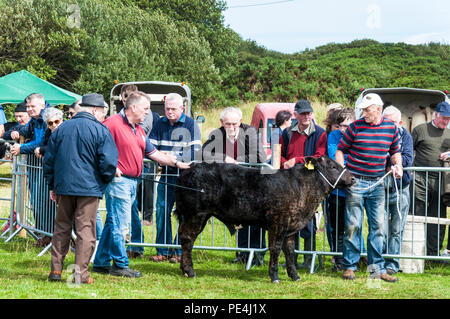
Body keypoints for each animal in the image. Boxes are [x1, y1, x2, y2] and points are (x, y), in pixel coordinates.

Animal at [176, 156, 356, 284]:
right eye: (333, 166)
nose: (353, 178)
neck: (301, 187)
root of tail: (188, 169)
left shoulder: (290, 227)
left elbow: (290, 251)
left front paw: (295, 275)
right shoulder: (278, 223)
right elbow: (275, 249)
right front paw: (275, 276)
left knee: (184, 238)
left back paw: (184, 270)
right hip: (196, 214)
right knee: (187, 239)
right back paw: (190, 271)